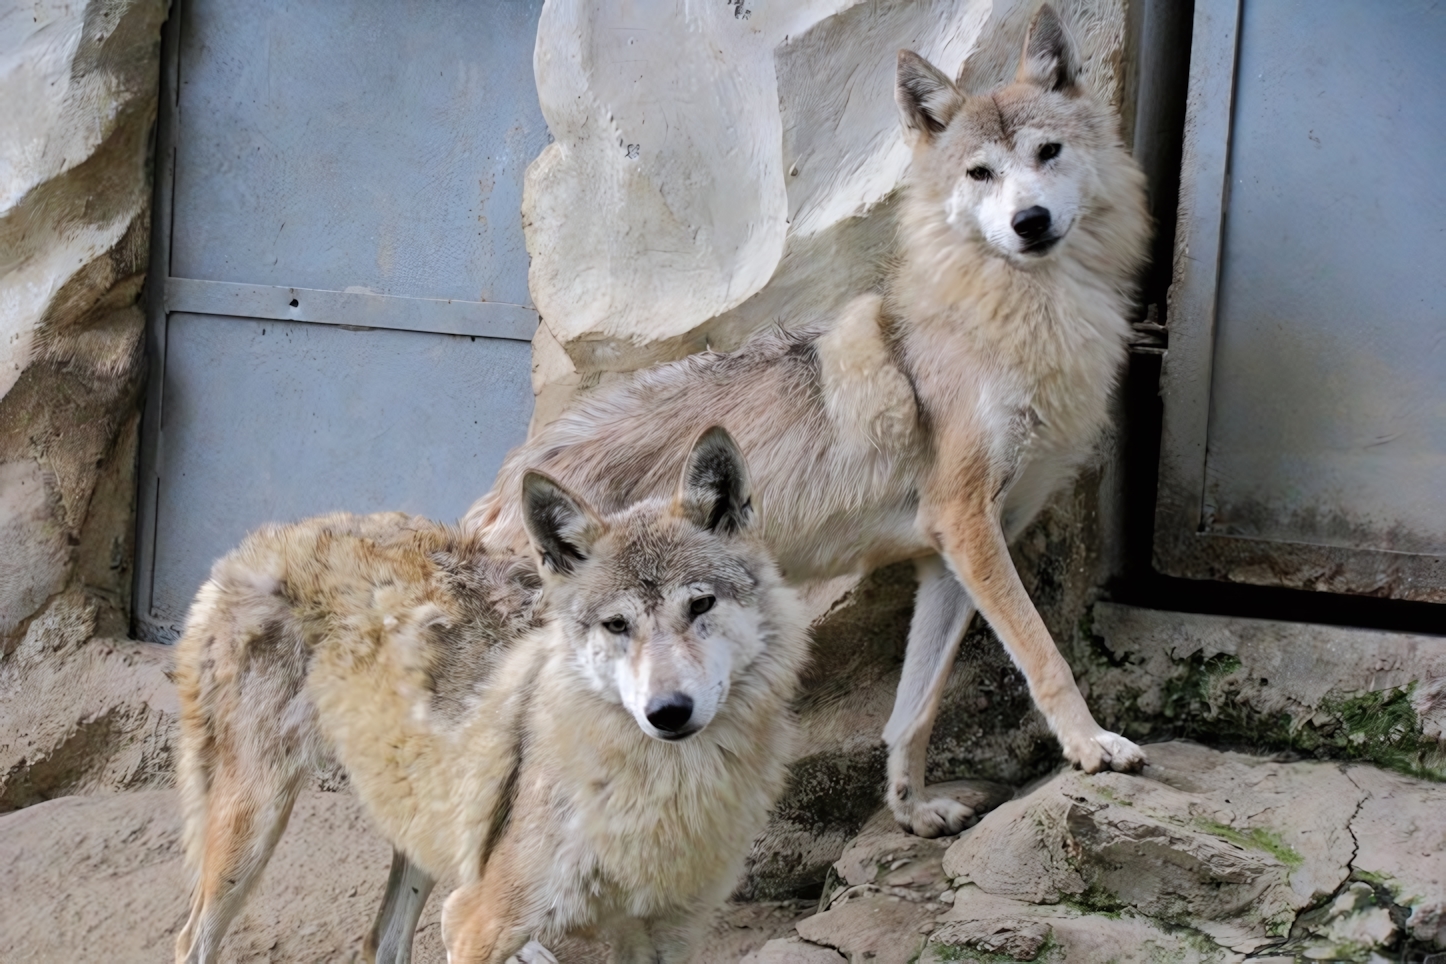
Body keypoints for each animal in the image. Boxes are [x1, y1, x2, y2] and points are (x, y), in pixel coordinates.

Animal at [173, 430, 809, 964]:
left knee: (381, 944)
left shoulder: (667, 934)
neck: (663, 793)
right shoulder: (477, 923)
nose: (668, 712)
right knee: (190, 939)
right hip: (253, 828)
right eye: (617, 624)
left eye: (700, 605)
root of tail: (261, 540)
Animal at [471, 3, 1151, 838]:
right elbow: (1044, 654)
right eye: (980, 173)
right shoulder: (970, 526)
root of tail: (504, 486)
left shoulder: (950, 555)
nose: (1030, 221)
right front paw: (1092, 745)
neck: (1017, 319)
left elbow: (914, 708)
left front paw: (912, 808)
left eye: (1047, 153)